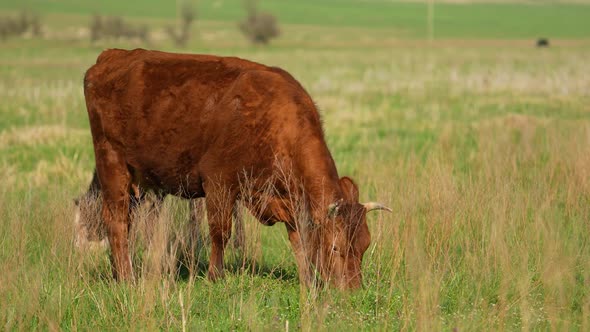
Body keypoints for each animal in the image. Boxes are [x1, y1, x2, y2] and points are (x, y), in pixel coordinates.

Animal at [82, 48, 388, 290]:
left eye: (365, 245)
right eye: (336, 246)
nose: (352, 289)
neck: (275, 121)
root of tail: (113, 55)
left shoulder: (290, 199)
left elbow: (298, 240)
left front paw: (308, 280)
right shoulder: (218, 182)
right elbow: (220, 232)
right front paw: (215, 276)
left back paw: (118, 272)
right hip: (113, 166)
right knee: (116, 221)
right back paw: (126, 277)